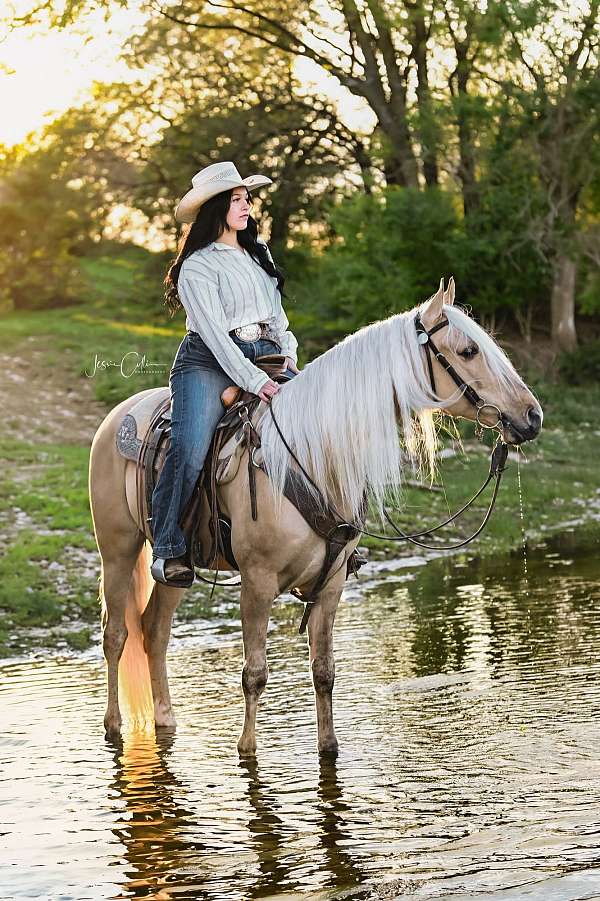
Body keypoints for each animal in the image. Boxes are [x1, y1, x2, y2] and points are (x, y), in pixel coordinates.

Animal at [89, 278, 542, 755]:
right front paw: (246, 750)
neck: (310, 455)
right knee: (116, 634)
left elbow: (323, 673)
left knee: (154, 630)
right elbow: (254, 674)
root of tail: (119, 415)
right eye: (468, 350)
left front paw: (329, 747)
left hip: (178, 562)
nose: (532, 416)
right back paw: (113, 726)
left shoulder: (332, 584)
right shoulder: (257, 582)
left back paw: (165, 721)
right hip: (118, 550)